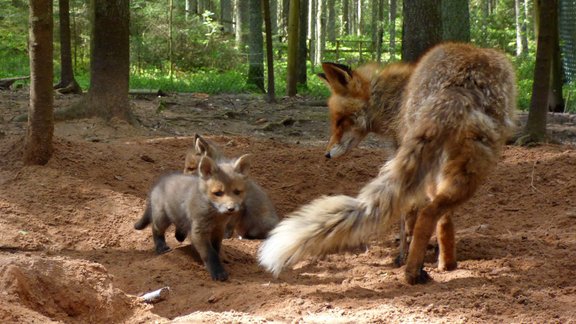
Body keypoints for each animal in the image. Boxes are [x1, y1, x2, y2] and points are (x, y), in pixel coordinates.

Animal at [258, 43, 516, 284]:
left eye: (340, 121)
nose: (327, 155)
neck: (393, 99)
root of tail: (461, 82)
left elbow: (406, 216)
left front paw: (402, 255)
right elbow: (438, 218)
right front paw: (431, 256)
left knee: (426, 213)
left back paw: (413, 271)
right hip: (461, 165)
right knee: (435, 213)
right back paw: (443, 265)